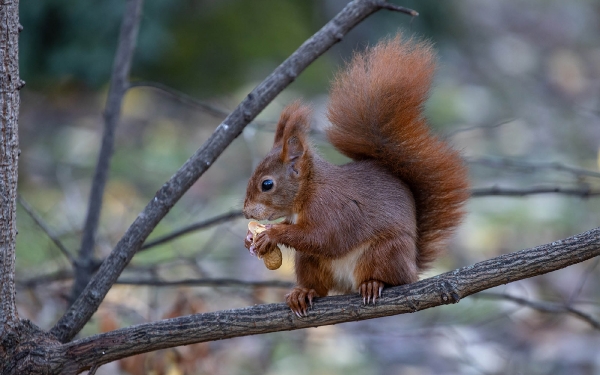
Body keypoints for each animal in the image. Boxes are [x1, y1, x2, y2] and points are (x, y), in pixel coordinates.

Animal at [243, 34, 468, 318]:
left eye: (267, 184)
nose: (246, 212)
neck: (310, 189)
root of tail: (412, 265)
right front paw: (253, 238)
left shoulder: (333, 209)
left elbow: (323, 238)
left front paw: (272, 234)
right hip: (309, 261)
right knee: (319, 286)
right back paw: (303, 292)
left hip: (384, 252)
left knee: (391, 277)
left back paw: (373, 284)